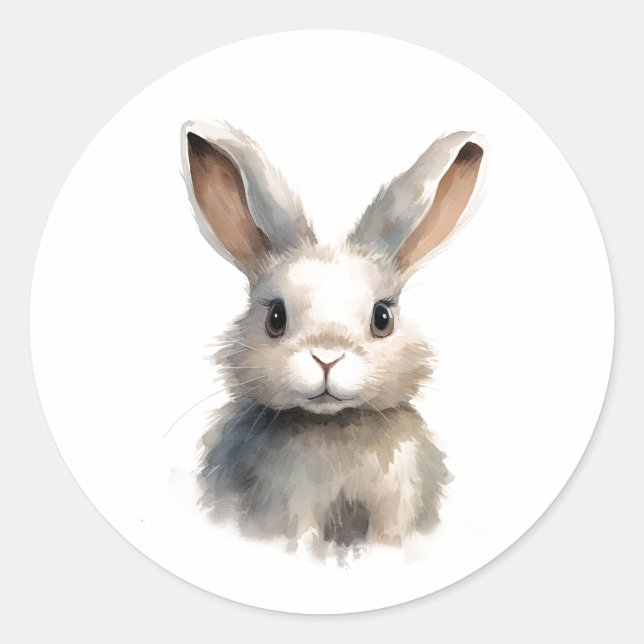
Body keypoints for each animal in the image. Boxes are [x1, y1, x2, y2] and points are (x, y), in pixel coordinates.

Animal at [181, 120, 486, 548]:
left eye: (382, 318)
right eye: (276, 317)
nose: (327, 358)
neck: (336, 426)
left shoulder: (398, 502)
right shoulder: (291, 507)